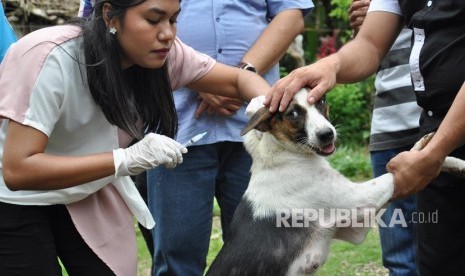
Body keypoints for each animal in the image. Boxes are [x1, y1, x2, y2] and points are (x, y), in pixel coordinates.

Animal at [208, 89, 464, 276]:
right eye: (293, 114)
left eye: (320, 101)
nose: (327, 135)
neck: (284, 155)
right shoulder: (360, 201)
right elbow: (399, 168)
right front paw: (427, 156)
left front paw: (454, 162)